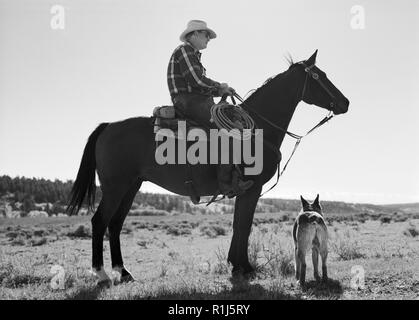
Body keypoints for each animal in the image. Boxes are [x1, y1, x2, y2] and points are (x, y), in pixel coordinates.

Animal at [67, 50, 352, 284]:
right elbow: (243, 226)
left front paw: (236, 264)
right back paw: (102, 274)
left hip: (131, 186)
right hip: (116, 187)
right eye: (319, 76)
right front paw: (243, 267)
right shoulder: (251, 188)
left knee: (115, 224)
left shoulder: (247, 191)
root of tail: (108, 126)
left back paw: (124, 273)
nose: (345, 102)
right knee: (99, 222)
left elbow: (239, 225)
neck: (258, 130)